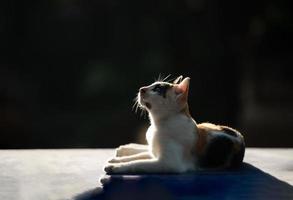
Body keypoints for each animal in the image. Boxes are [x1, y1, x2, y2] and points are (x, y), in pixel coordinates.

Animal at [104, 76, 245, 174]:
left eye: (157, 89)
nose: (141, 89)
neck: (158, 124)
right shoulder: (156, 154)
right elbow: (138, 157)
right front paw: (118, 160)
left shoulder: (168, 163)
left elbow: (138, 163)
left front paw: (116, 167)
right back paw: (126, 149)